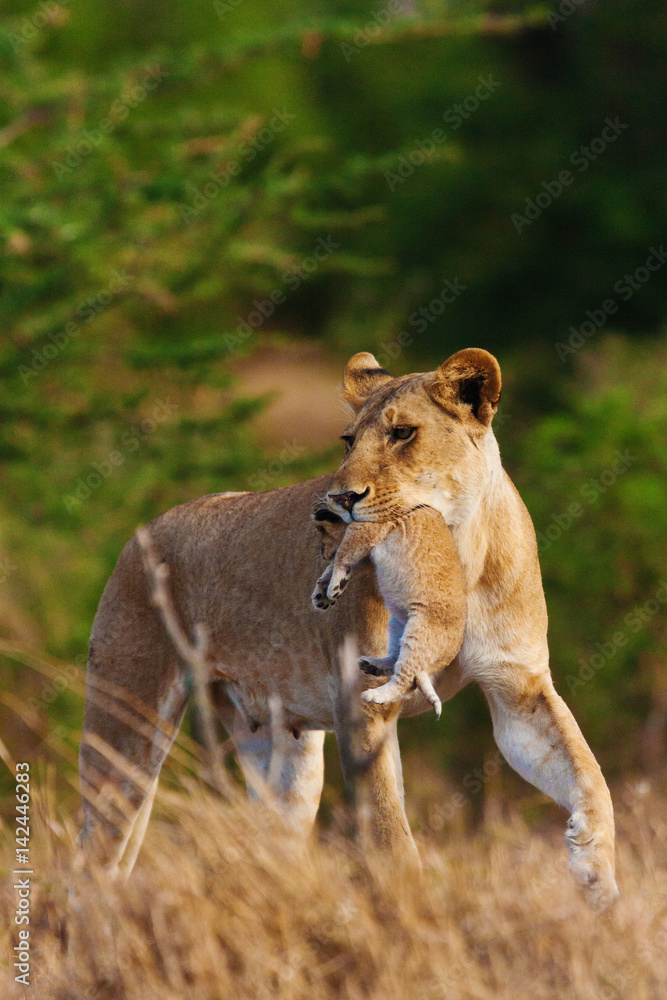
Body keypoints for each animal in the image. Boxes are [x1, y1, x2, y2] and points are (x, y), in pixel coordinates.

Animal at [311, 505, 466, 718]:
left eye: (322, 531)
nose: (323, 553)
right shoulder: (368, 555)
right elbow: (342, 565)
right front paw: (322, 593)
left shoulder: (369, 530)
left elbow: (343, 554)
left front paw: (333, 586)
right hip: (396, 624)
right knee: (396, 661)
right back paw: (372, 665)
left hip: (419, 632)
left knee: (407, 680)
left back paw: (375, 694)